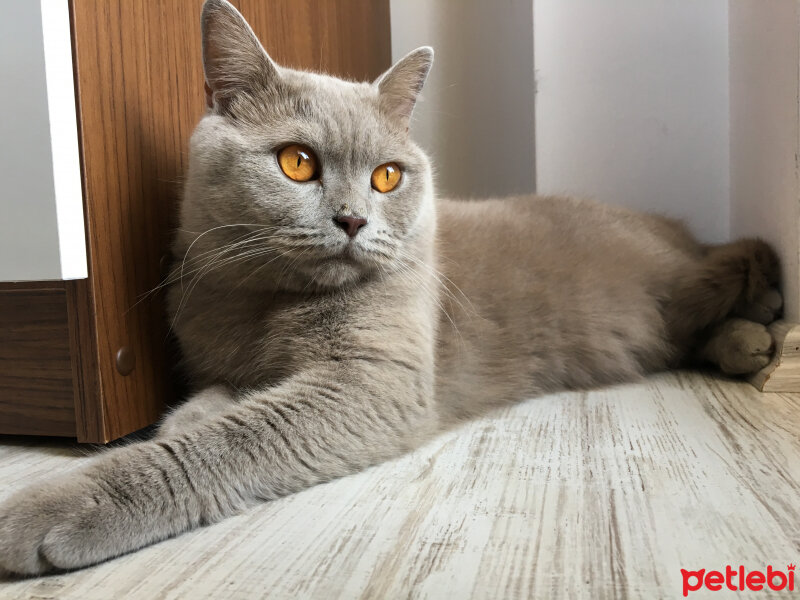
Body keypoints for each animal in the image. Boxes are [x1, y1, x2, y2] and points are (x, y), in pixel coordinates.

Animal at [0, 0, 780, 576]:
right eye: (296, 162)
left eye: (387, 175)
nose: (352, 218)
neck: (260, 302)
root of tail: (673, 229)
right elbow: (215, 405)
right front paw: (193, 412)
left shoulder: (374, 382)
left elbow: (221, 442)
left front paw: (52, 508)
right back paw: (749, 344)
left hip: (670, 285)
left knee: (731, 272)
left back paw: (762, 316)